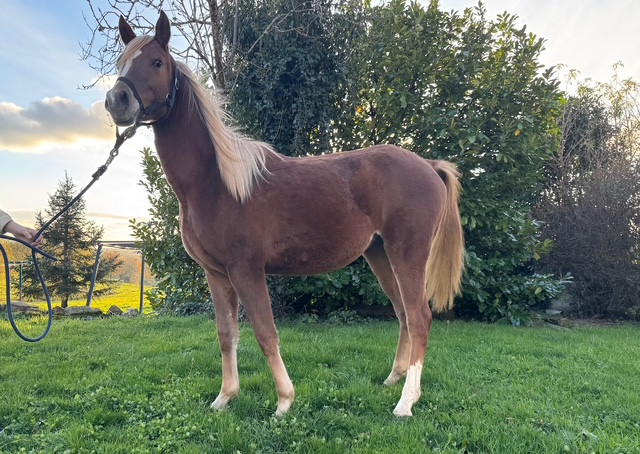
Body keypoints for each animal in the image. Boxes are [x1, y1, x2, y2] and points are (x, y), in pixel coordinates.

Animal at [105, 11, 464, 418]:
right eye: (121, 62)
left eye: (156, 62)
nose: (116, 100)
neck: (214, 181)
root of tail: (429, 165)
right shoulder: (216, 274)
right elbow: (226, 334)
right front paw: (224, 398)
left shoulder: (246, 268)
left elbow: (265, 332)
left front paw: (284, 401)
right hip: (380, 255)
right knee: (403, 313)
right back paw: (395, 381)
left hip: (408, 253)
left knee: (419, 318)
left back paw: (405, 403)